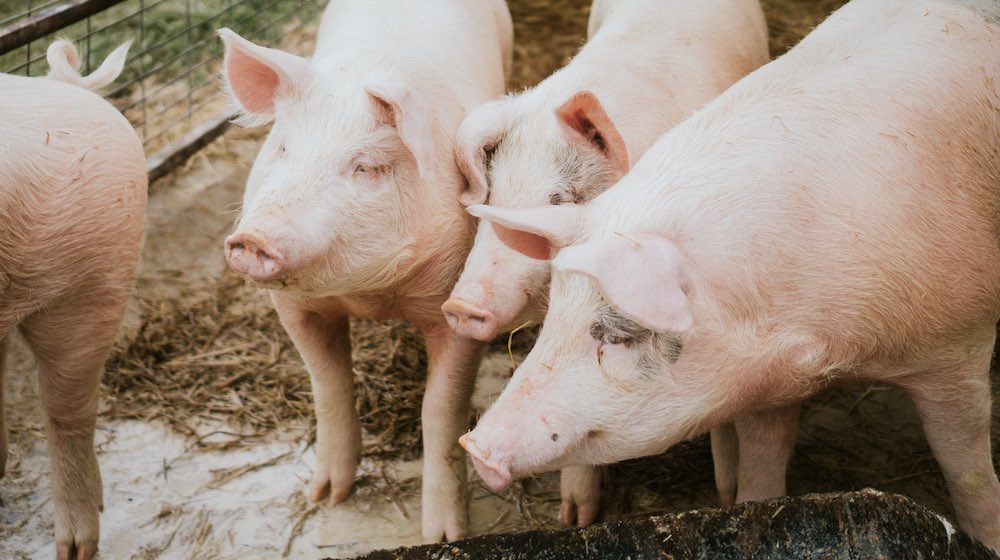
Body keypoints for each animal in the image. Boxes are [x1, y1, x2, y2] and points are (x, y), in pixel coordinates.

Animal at [218, 0, 512, 543]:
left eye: (366, 167)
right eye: (282, 148)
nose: (254, 238)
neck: (371, 296)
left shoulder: (459, 308)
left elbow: (441, 410)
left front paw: (444, 536)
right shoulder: (294, 307)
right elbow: (328, 386)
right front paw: (325, 498)